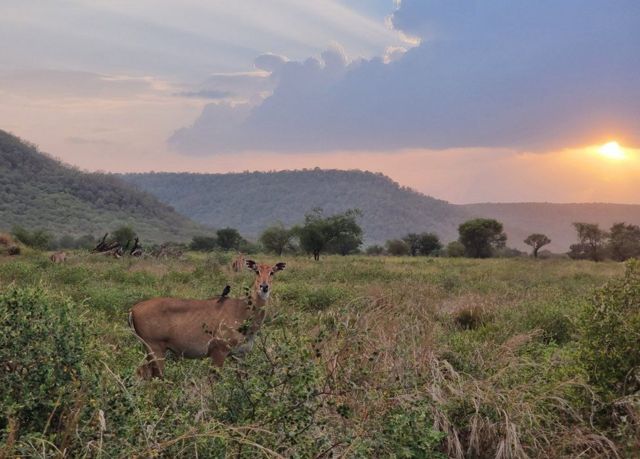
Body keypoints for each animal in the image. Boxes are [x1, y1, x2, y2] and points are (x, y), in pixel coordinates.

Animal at [129, 260, 286, 380]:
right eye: (256, 271)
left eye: (272, 272)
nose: (264, 286)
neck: (243, 311)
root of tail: (133, 309)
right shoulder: (219, 351)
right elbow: (213, 380)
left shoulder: (240, 355)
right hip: (155, 349)